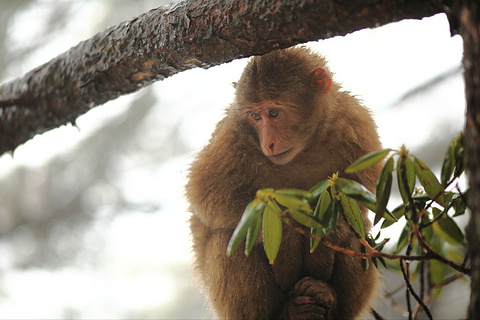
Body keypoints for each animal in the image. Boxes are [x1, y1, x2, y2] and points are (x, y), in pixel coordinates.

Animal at [186, 46, 380, 318]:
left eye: (274, 113)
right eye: (256, 117)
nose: (268, 143)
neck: (304, 148)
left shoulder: (356, 122)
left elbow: (361, 201)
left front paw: (326, 235)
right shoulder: (232, 138)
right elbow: (206, 196)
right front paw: (286, 232)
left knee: (357, 234)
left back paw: (327, 299)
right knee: (231, 235)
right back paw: (287, 312)